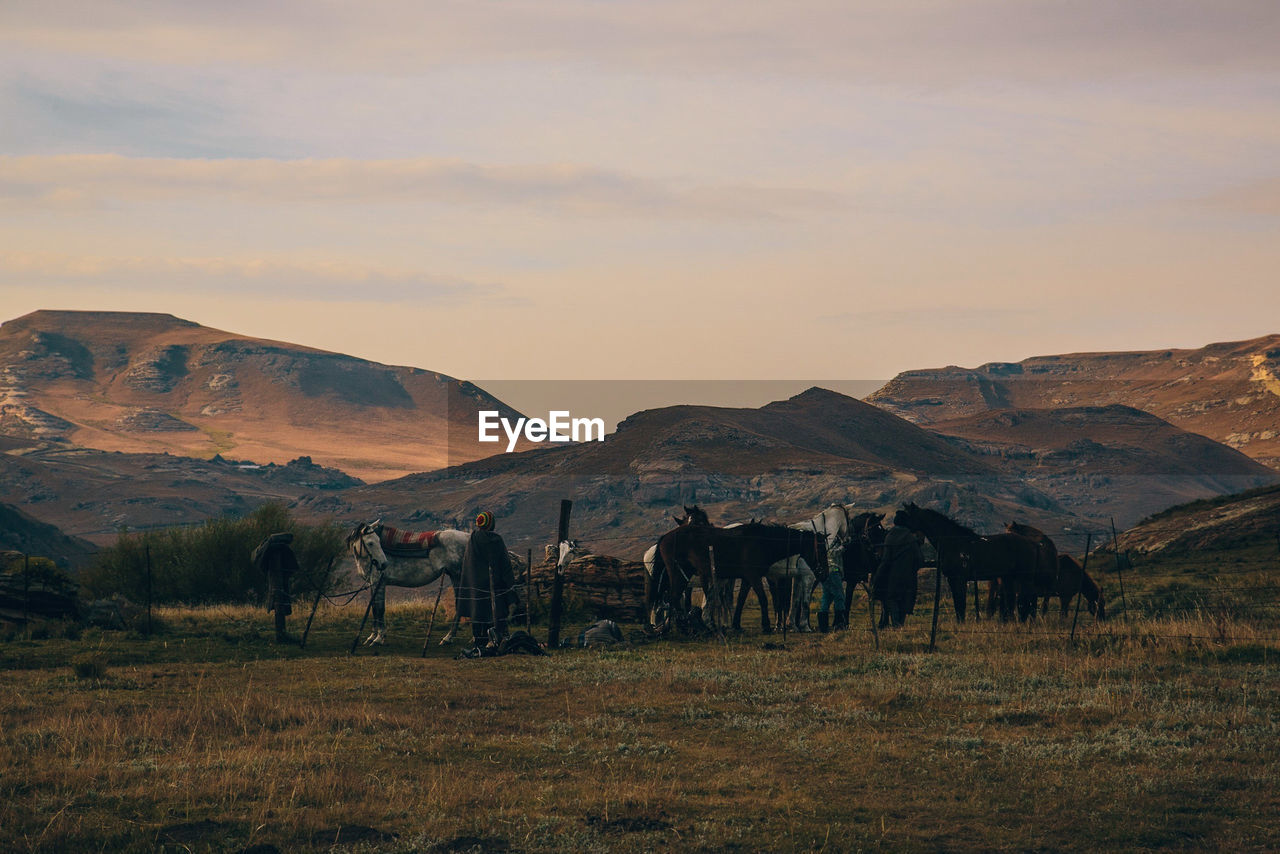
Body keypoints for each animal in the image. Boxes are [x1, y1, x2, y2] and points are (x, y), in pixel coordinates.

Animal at [901, 501, 1039, 622]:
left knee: (1025, 600)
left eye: (908, 514)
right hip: (1009, 578)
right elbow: (958, 603)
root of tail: (1030, 543)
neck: (954, 542)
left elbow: (961, 603)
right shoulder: (953, 579)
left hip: (1024, 578)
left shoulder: (959, 579)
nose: (897, 518)